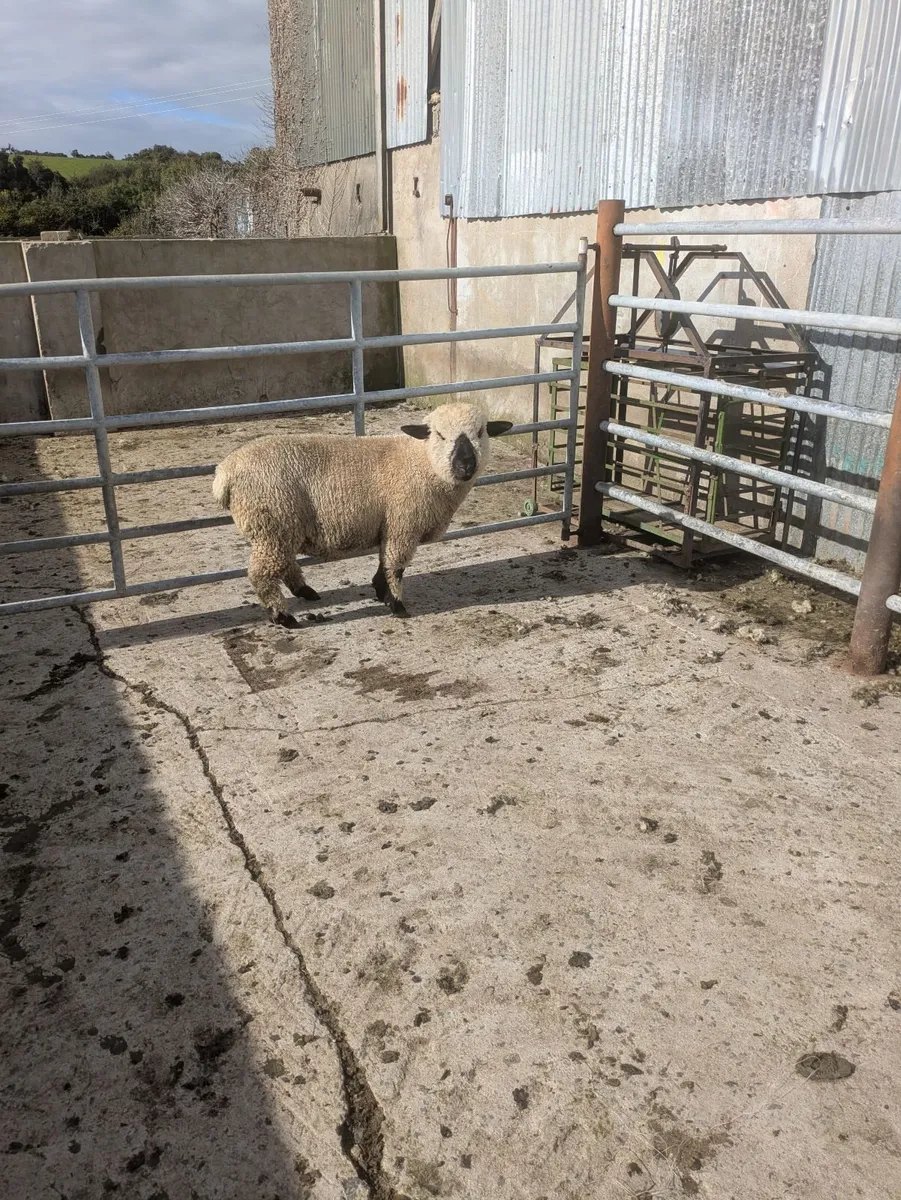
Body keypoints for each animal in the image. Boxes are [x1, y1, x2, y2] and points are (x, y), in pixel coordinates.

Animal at [212, 402, 513, 626]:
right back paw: (283, 617)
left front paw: (380, 591)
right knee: (262, 574)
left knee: (283, 564)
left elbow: (384, 562)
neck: (421, 462)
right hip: (273, 523)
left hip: (280, 528)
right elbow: (395, 566)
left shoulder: (390, 525)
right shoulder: (403, 524)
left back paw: (305, 592)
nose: (465, 465)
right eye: (439, 435)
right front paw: (396, 605)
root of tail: (225, 472)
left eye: (481, 432)